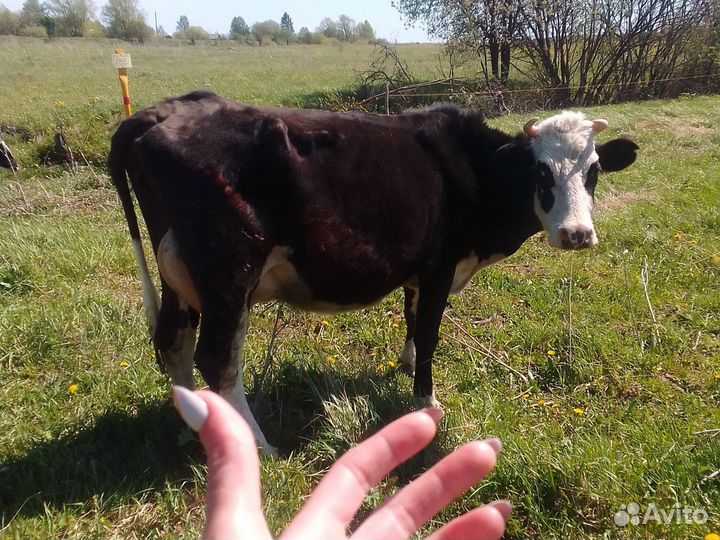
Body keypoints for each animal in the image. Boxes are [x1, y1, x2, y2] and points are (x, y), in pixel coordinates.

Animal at [108, 90, 638, 452]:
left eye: (593, 170)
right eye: (540, 171)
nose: (576, 234)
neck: (475, 170)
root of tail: (164, 110)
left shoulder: (420, 271)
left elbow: (411, 318)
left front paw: (404, 366)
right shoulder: (441, 266)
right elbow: (429, 333)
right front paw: (426, 402)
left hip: (179, 276)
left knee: (173, 344)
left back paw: (196, 424)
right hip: (228, 272)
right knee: (217, 359)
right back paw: (257, 445)